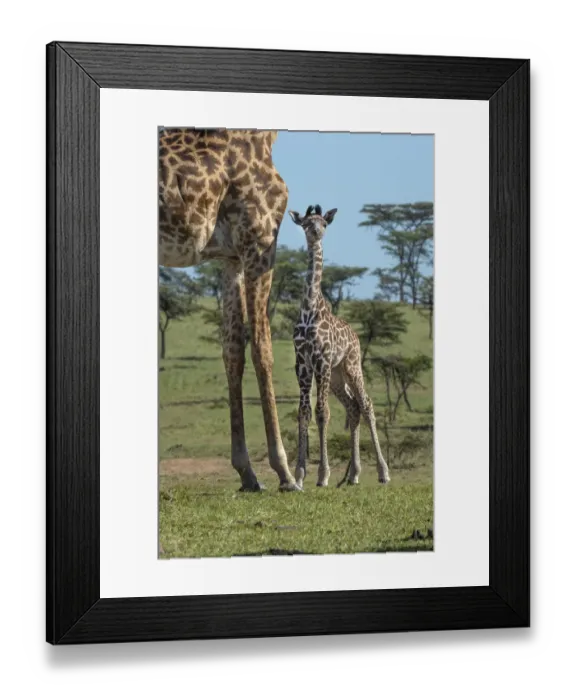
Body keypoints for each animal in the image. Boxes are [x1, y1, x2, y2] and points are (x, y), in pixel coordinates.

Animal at [159, 128, 300, 492]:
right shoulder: (259, 239)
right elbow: (263, 349)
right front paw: (285, 472)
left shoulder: (231, 257)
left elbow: (233, 351)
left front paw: (247, 472)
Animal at [288, 205, 391, 488]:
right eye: (306, 223)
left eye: (323, 223)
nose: (316, 232)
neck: (309, 308)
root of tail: (356, 336)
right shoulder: (302, 363)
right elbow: (303, 412)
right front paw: (299, 475)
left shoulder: (321, 359)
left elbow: (322, 412)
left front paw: (322, 475)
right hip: (337, 375)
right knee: (353, 407)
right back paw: (354, 474)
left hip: (351, 366)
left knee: (366, 404)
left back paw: (383, 472)